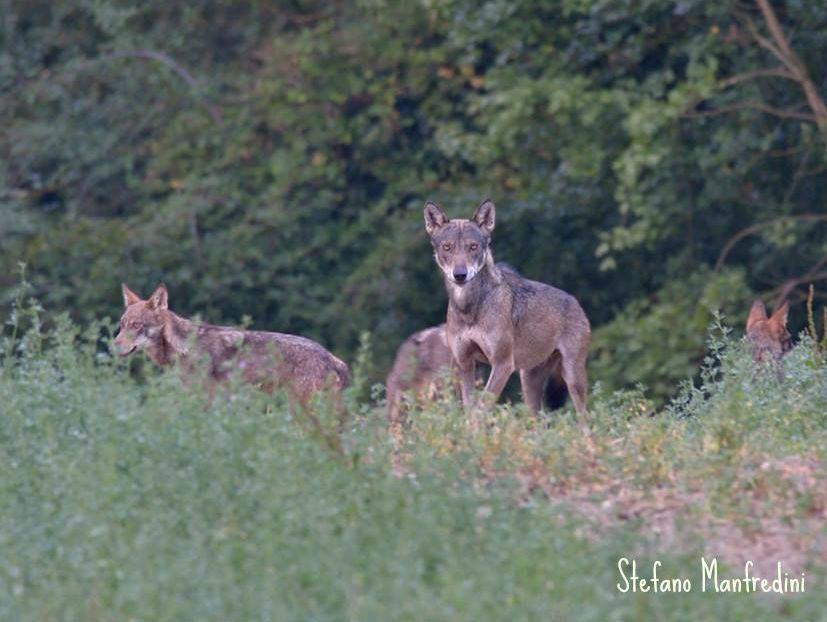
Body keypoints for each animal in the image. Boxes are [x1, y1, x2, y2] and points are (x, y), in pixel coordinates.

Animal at [114, 284, 350, 411]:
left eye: (137, 325)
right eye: (122, 324)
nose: (113, 345)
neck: (183, 347)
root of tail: (332, 358)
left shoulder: (206, 400)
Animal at [423, 199, 591, 414]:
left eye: (473, 247)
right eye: (447, 247)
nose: (460, 274)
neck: (469, 309)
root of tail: (575, 301)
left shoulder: (502, 364)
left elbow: (480, 408)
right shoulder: (464, 363)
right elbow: (469, 408)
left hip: (571, 377)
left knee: (584, 416)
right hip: (528, 383)